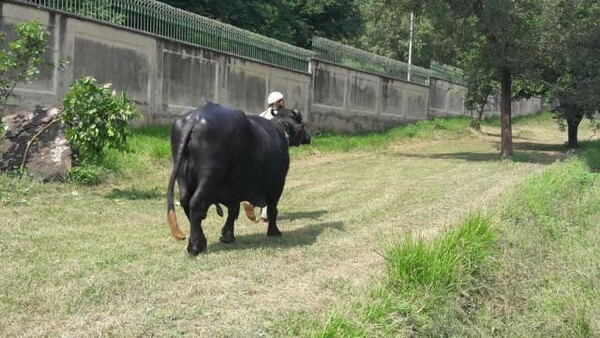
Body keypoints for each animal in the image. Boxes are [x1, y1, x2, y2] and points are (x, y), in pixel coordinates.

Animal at [166, 101, 312, 255]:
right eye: (301, 121)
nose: (309, 137)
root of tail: (195, 118)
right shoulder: (277, 182)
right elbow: (272, 208)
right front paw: (274, 231)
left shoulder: (232, 189)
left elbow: (233, 210)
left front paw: (227, 235)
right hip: (209, 175)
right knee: (196, 204)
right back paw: (195, 246)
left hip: (182, 176)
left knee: (186, 203)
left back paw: (200, 242)